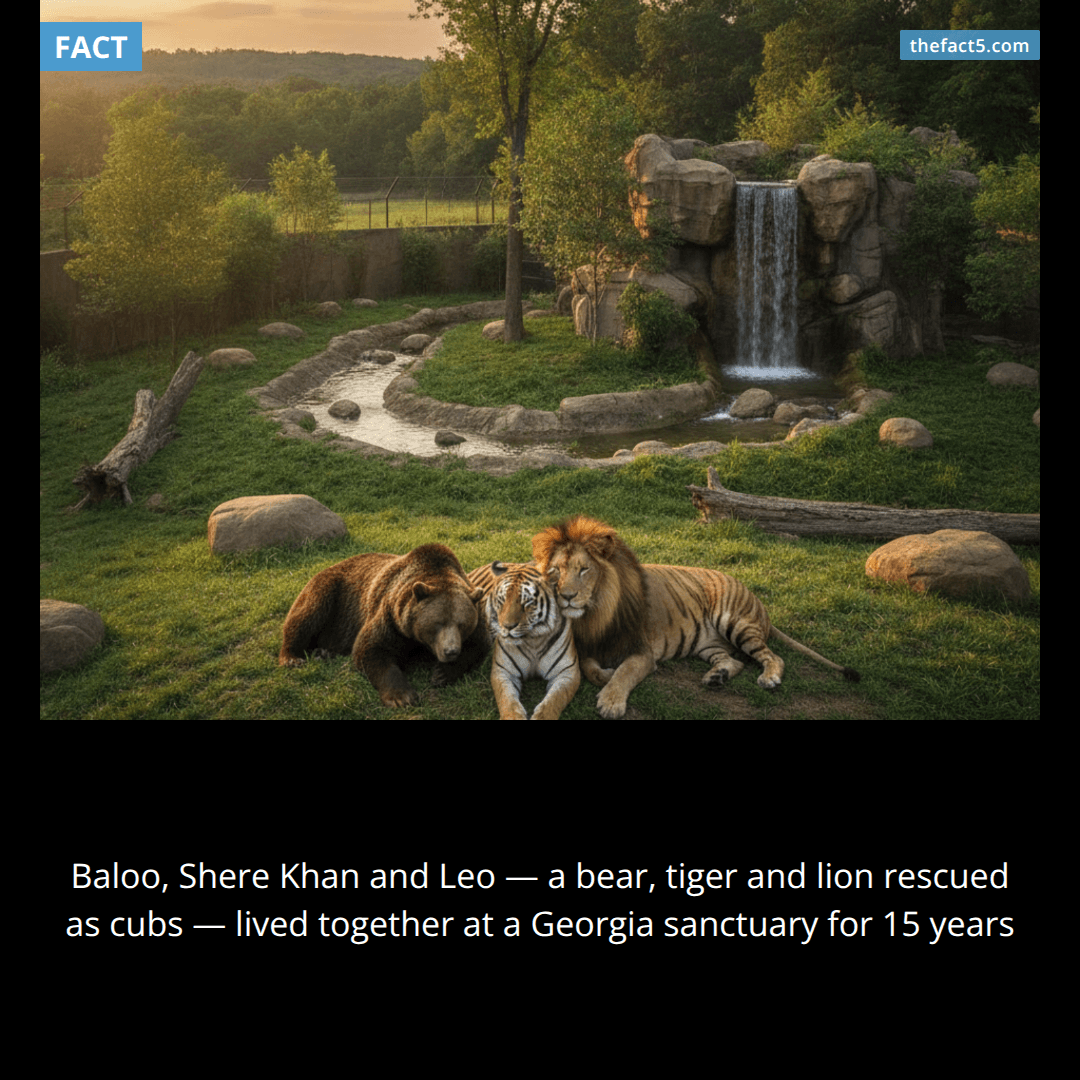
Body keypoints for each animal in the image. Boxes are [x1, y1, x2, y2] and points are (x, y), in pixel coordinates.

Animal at [279, 543, 487, 708]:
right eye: (437, 623)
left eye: (462, 624)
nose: (450, 651)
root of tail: (330, 566)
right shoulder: (390, 617)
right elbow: (372, 649)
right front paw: (402, 697)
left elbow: (476, 647)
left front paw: (441, 674)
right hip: (329, 591)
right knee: (306, 615)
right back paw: (292, 658)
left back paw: (323, 653)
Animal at [467, 561, 581, 722]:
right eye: (502, 600)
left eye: (527, 602)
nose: (507, 626)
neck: (533, 640)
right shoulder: (503, 671)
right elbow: (507, 701)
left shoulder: (567, 672)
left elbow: (554, 700)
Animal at [532, 515, 860, 719]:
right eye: (556, 570)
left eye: (584, 569)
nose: (566, 596)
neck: (594, 614)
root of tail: (757, 600)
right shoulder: (591, 646)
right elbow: (592, 670)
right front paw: (605, 675)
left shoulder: (642, 652)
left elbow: (625, 672)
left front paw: (611, 701)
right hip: (708, 644)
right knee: (735, 661)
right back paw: (717, 676)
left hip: (736, 622)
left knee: (772, 657)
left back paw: (768, 678)